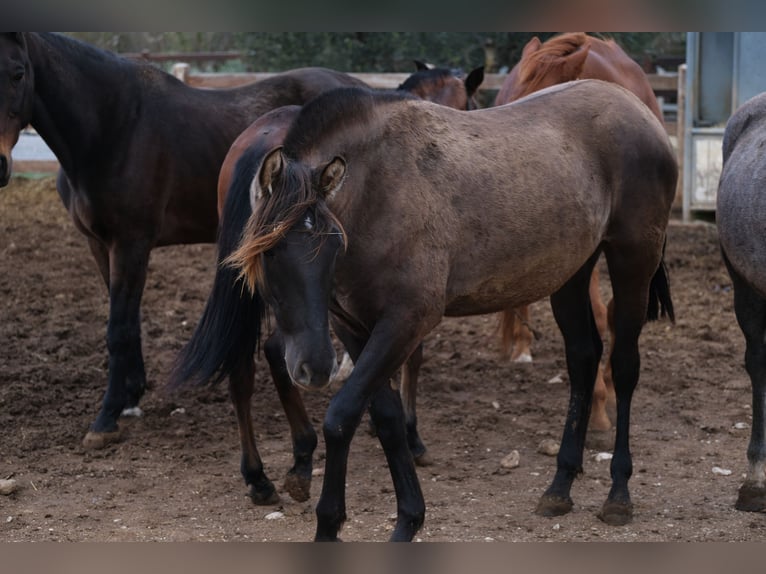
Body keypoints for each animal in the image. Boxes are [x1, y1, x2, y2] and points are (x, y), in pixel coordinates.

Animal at [0, 32, 368, 452]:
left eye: (18, 72)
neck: (112, 127)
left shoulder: (130, 244)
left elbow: (118, 328)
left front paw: (107, 416)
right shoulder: (100, 246)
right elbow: (127, 321)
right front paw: (130, 397)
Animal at [170, 64, 485, 505]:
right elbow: (412, 356)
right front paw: (410, 435)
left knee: (244, 364)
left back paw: (262, 474)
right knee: (271, 352)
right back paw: (297, 456)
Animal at [226, 80, 677, 540]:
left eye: (332, 244)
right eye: (270, 253)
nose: (314, 367)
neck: (378, 191)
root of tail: (638, 109)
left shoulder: (407, 320)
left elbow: (341, 416)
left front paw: (331, 524)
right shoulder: (352, 325)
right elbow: (386, 417)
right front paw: (408, 519)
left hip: (632, 261)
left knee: (624, 366)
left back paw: (618, 494)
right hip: (571, 273)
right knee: (583, 360)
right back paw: (559, 487)